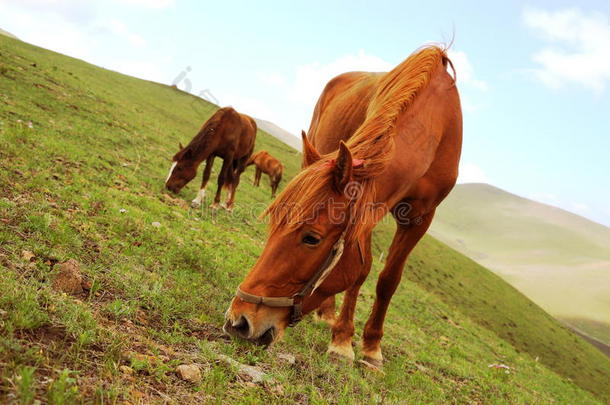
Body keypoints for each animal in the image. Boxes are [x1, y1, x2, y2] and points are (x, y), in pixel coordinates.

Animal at [223, 45, 460, 368]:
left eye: (312, 238)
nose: (239, 321)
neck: (433, 126)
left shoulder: (421, 217)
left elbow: (388, 280)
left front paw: (372, 347)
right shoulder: (369, 208)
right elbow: (361, 272)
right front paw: (343, 340)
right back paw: (327, 313)